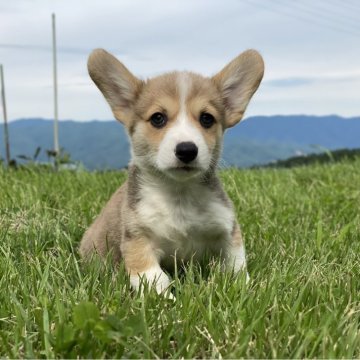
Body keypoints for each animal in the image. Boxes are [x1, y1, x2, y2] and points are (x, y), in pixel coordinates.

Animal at [80, 48, 262, 296]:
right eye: (158, 118)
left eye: (207, 118)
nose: (187, 150)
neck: (179, 195)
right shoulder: (138, 241)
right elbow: (154, 280)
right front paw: (165, 300)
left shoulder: (227, 232)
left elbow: (237, 267)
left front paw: (243, 291)